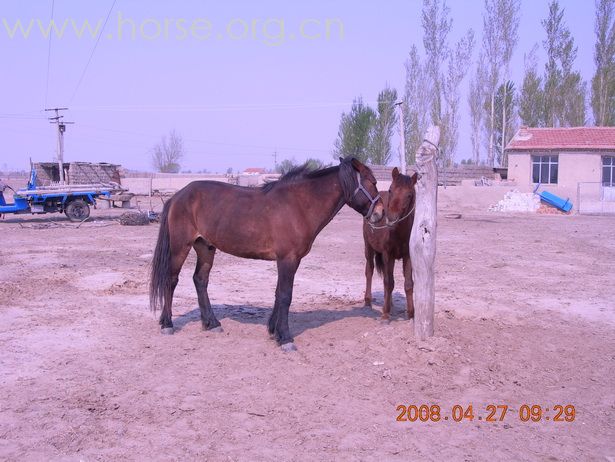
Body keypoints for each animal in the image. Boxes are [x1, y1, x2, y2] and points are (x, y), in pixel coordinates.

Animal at [149, 158, 382, 350]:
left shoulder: (288, 260)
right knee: (171, 280)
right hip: (180, 246)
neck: (299, 205)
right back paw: (167, 324)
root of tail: (178, 195)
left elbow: (279, 294)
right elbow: (286, 295)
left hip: (205, 247)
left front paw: (273, 330)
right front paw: (285, 338)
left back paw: (212, 324)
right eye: (373, 182)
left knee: (200, 280)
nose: (380, 213)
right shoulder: (288, 259)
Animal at [360, 166, 418, 322]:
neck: (398, 232)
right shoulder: (388, 255)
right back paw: (368, 301)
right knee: (370, 271)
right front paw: (385, 314)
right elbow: (388, 282)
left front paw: (411, 314)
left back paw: (390, 302)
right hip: (369, 248)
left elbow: (408, 284)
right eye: (391, 189)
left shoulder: (408, 256)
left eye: (409, 195)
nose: (390, 219)